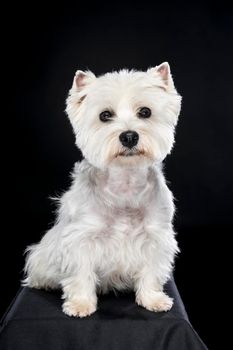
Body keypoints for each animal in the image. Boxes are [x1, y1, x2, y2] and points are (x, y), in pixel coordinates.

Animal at [22, 63, 181, 318]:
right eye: (105, 115)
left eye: (145, 112)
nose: (129, 136)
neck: (125, 181)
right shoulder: (81, 238)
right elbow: (81, 273)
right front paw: (80, 304)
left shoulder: (155, 237)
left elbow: (150, 271)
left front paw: (153, 299)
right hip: (44, 254)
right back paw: (43, 283)